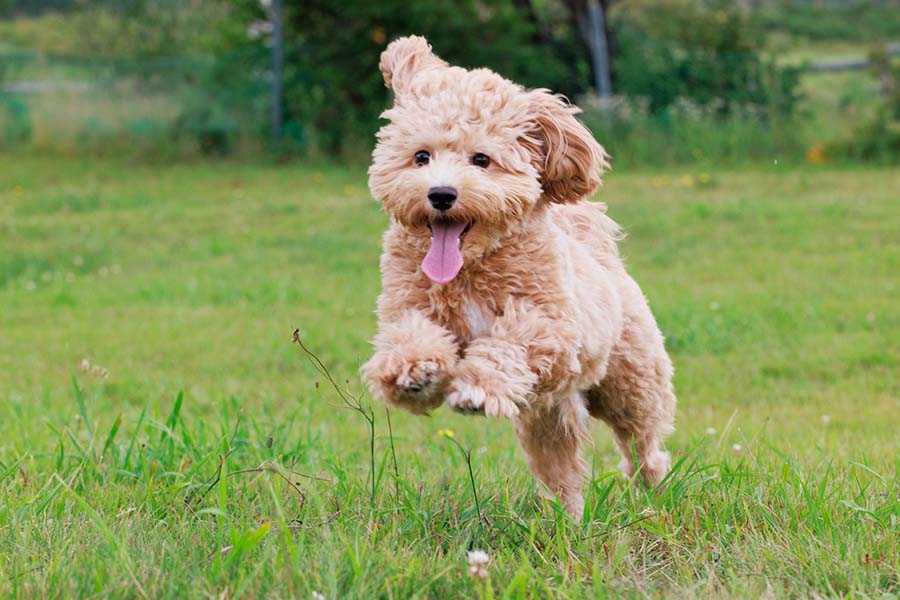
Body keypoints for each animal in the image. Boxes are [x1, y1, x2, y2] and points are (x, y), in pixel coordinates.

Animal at [358, 35, 676, 516]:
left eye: (482, 159)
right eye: (421, 157)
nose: (441, 194)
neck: (471, 268)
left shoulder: (551, 327)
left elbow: (509, 344)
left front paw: (475, 389)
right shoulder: (406, 309)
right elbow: (410, 338)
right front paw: (416, 373)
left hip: (632, 381)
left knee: (643, 441)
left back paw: (654, 487)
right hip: (548, 415)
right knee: (561, 468)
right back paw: (565, 518)